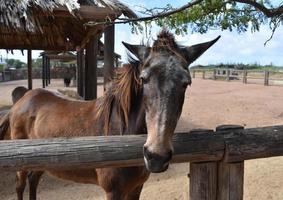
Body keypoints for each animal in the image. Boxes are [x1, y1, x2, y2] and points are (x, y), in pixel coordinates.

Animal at [0, 30, 221, 200]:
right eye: (144, 79)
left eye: (186, 83)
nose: (156, 156)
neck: (120, 132)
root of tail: (21, 101)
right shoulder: (113, 192)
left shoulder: (136, 188)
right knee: (20, 186)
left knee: (33, 181)